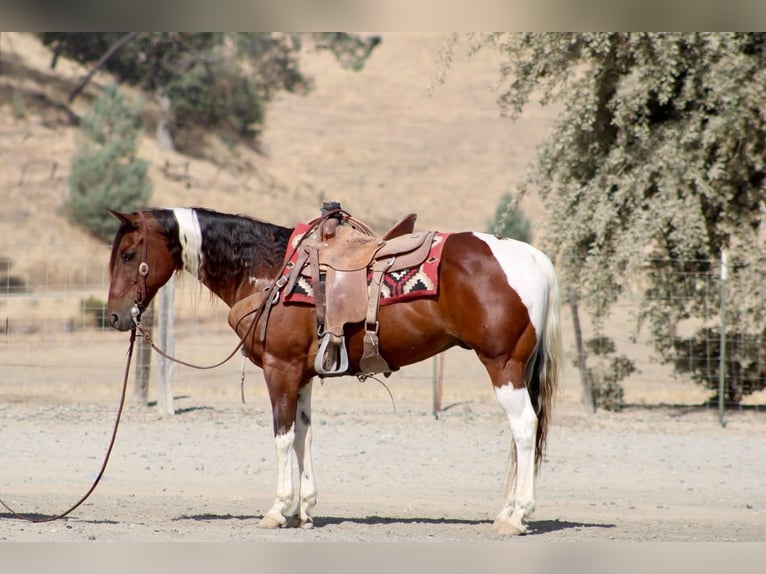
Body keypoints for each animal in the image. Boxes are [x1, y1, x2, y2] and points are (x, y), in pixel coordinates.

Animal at [106, 206, 562, 535]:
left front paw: (278, 509)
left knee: (524, 428)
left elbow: (282, 437)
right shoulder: (303, 374)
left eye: (129, 255)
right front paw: (304, 510)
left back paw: (516, 517)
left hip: (503, 364)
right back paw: (507, 511)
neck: (269, 270)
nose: (114, 316)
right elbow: (304, 434)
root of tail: (534, 258)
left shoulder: (280, 370)